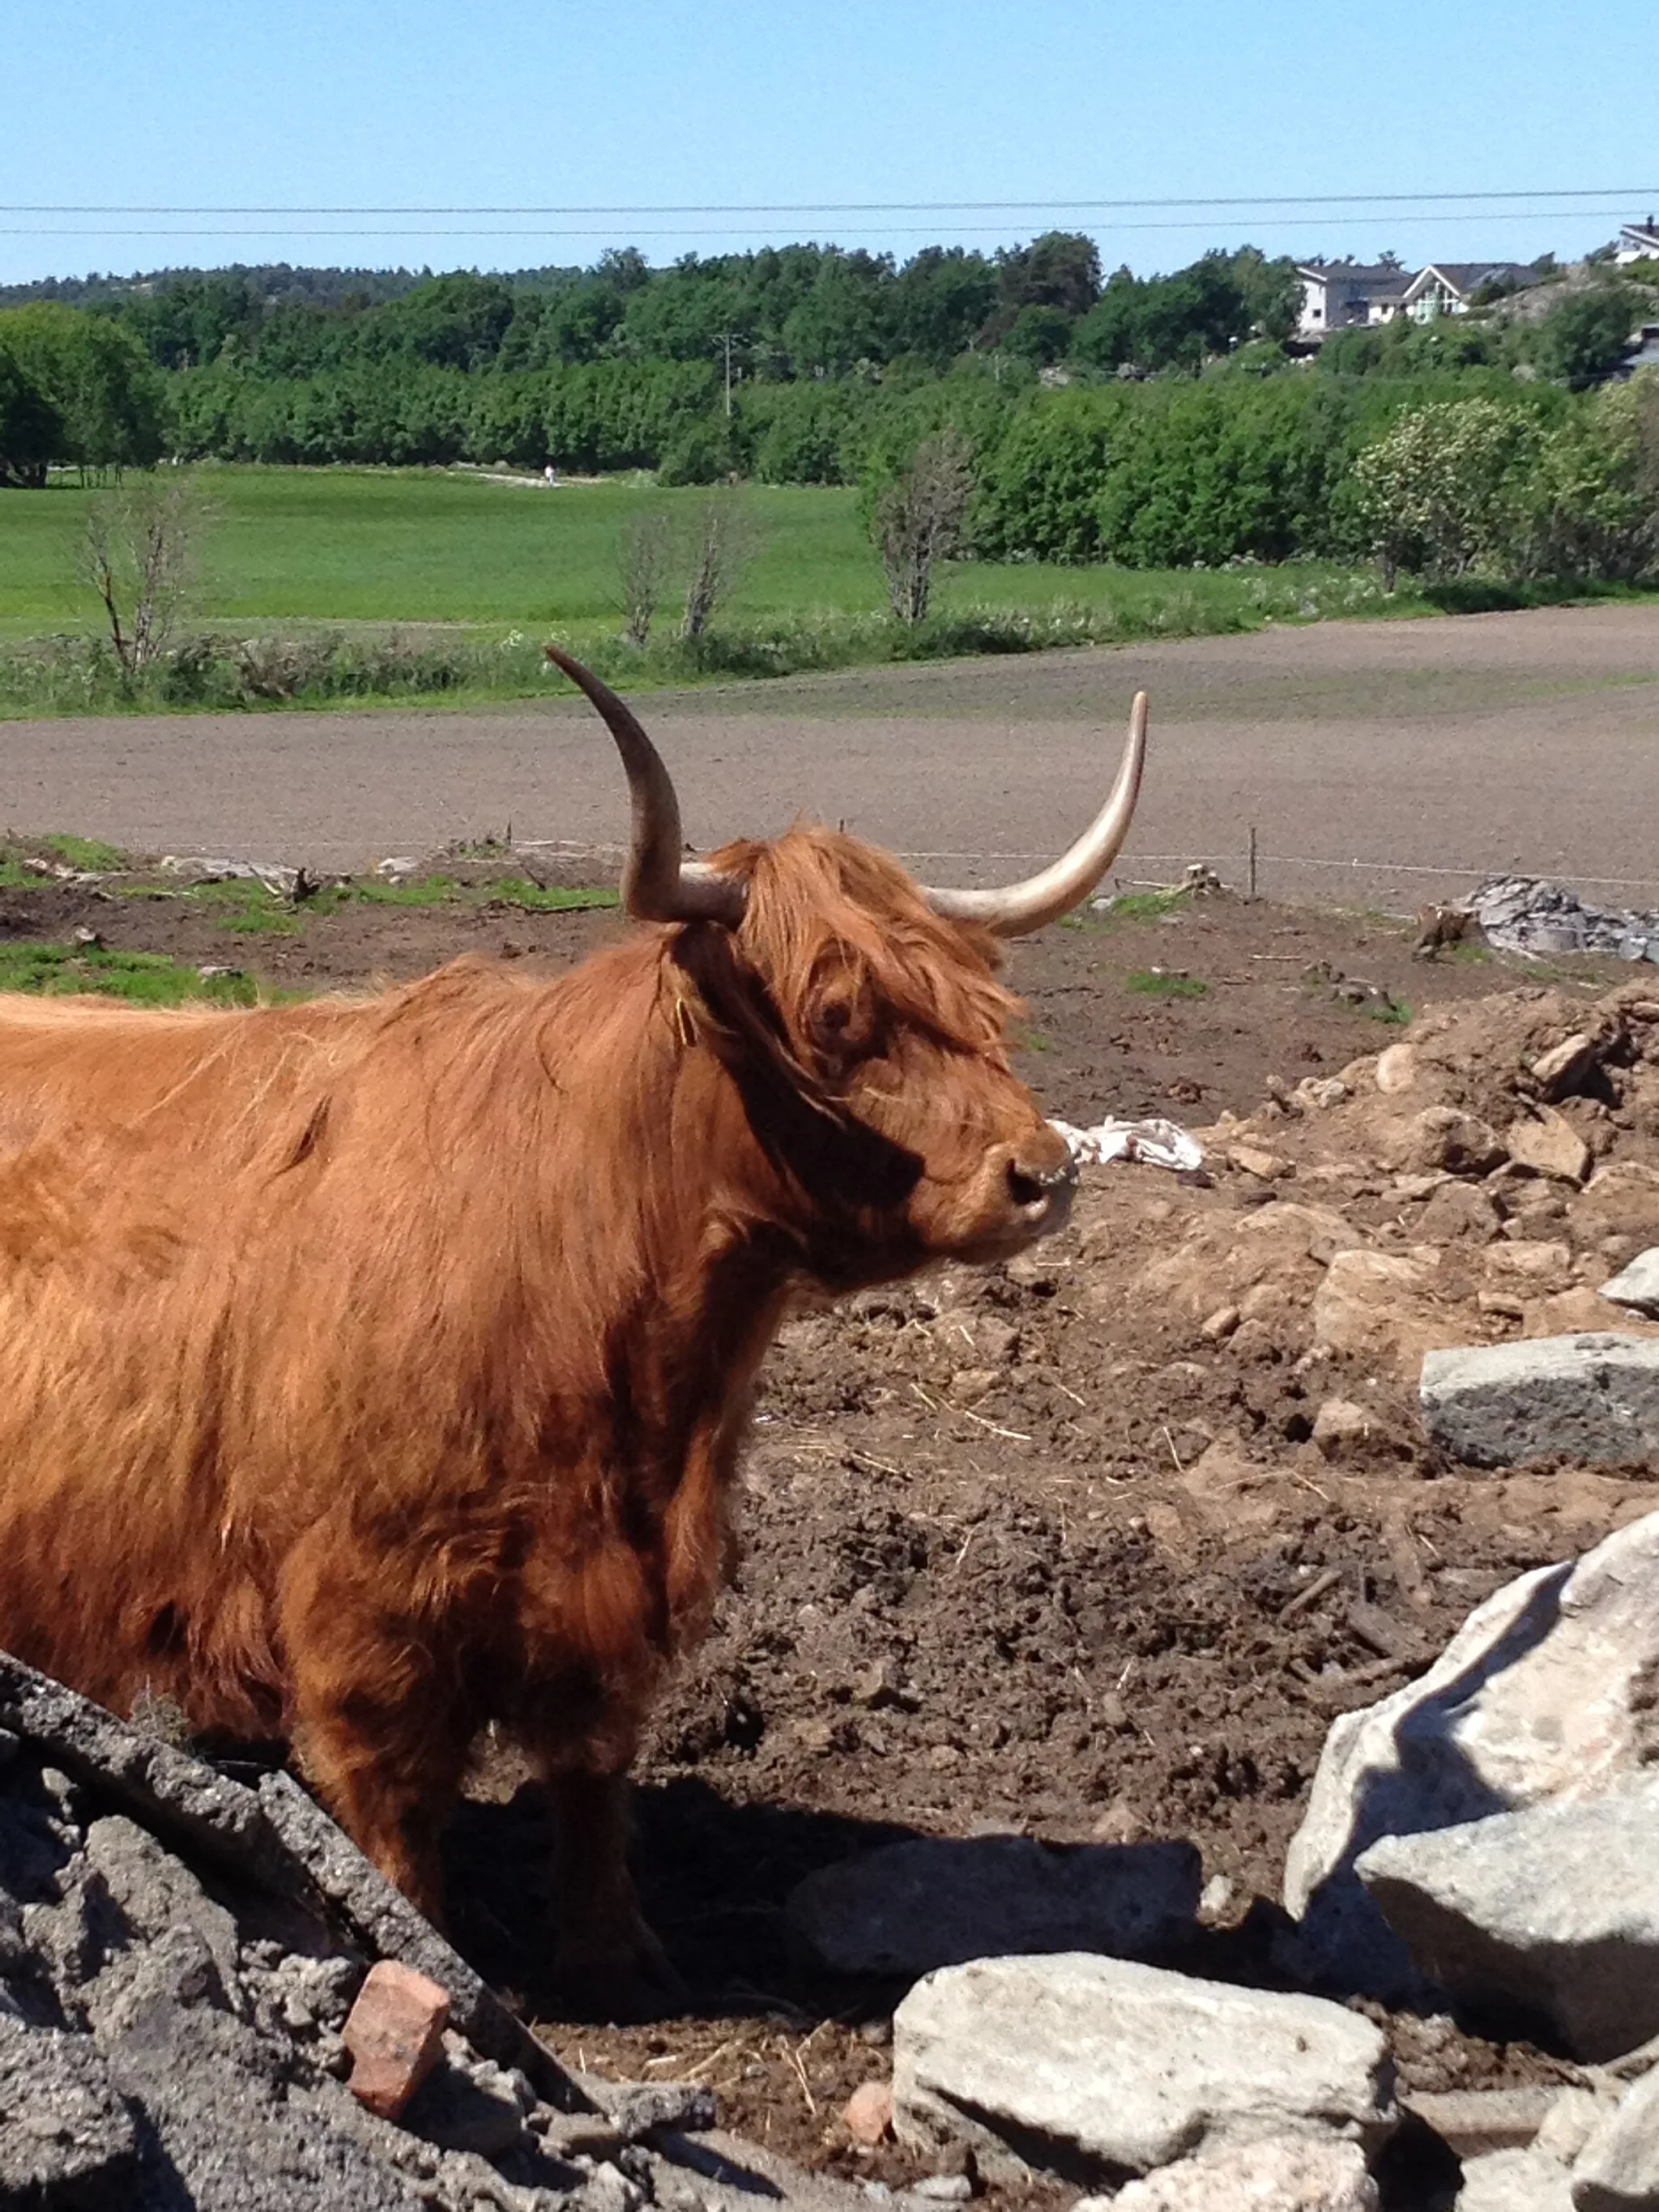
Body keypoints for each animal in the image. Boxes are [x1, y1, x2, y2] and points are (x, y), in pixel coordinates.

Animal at [0, 646, 1149, 2017]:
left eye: (983, 1003)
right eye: (834, 1016)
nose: (1045, 1171)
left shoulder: (619, 1585)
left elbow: (593, 1770)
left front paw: (616, 1956)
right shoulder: (363, 1604)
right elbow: (392, 1804)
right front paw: (435, 1969)